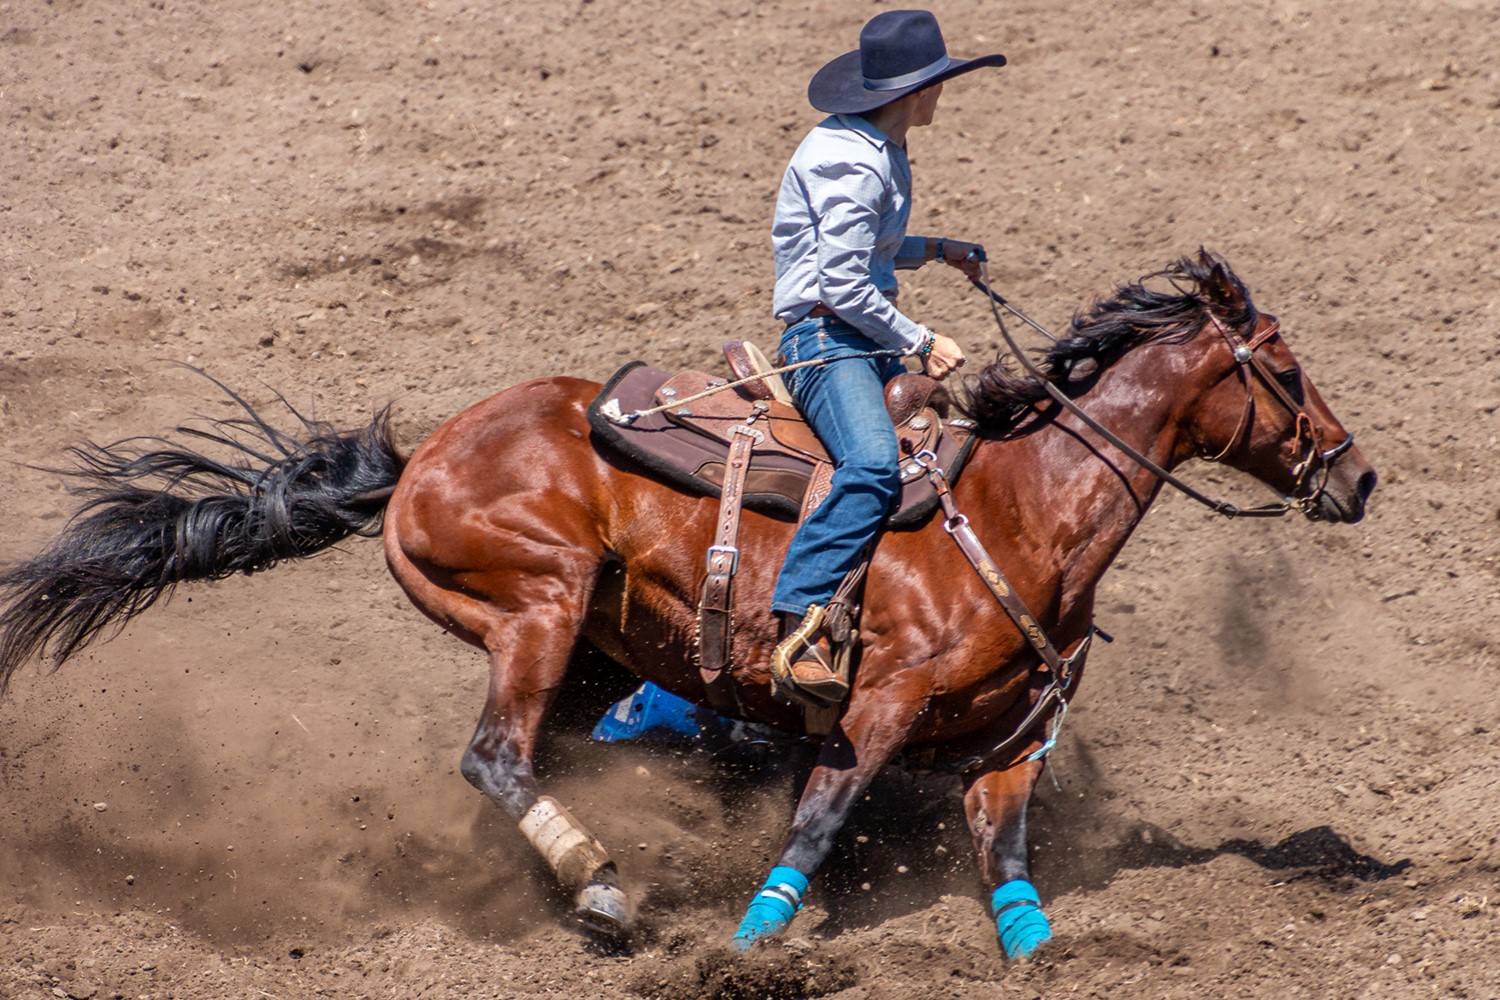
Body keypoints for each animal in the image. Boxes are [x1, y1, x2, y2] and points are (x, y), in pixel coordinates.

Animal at [0, 251, 1374, 959]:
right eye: (1283, 367)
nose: (1356, 475)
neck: (1024, 509)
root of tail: (422, 454)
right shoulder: (874, 707)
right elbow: (820, 817)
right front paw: (757, 943)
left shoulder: (1010, 743)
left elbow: (1009, 859)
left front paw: (1049, 952)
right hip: (537, 609)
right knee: (493, 754)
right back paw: (604, 887)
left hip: (597, 656)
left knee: (527, 758)